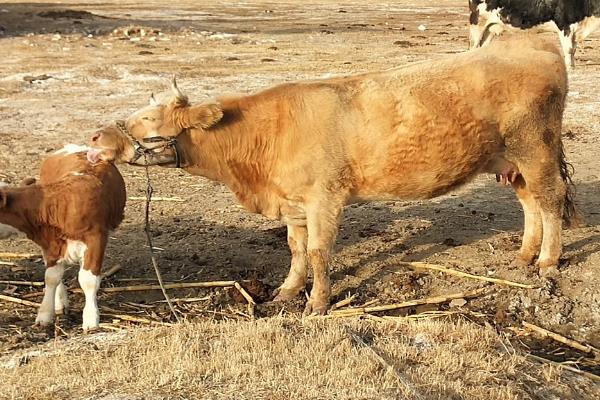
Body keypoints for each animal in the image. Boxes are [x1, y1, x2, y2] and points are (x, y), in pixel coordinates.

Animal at [0, 145, 125, 330]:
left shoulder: (96, 239)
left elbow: (88, 280)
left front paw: (90, 318)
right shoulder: (50, 245)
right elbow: (51, 277)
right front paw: (45, 314)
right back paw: (60, 302)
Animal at [91, 35, 580, 316]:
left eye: (150, 121)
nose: (97, 135)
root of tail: (535, 47)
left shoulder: (324, 198)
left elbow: (319, 251)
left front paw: (318, 303)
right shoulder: (292, 203)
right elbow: (295, 248)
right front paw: (287, 290)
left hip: (534, 148)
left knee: (550, 199)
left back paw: (547, 261)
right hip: (510, 160)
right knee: (530, 202)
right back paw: (525, 254)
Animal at [468, 0, 600, 67]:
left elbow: (573, 50)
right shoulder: (564, 26)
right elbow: (569, 50)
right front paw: (569, 67)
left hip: (490, 28)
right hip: (478, 23)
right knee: (473, 47)